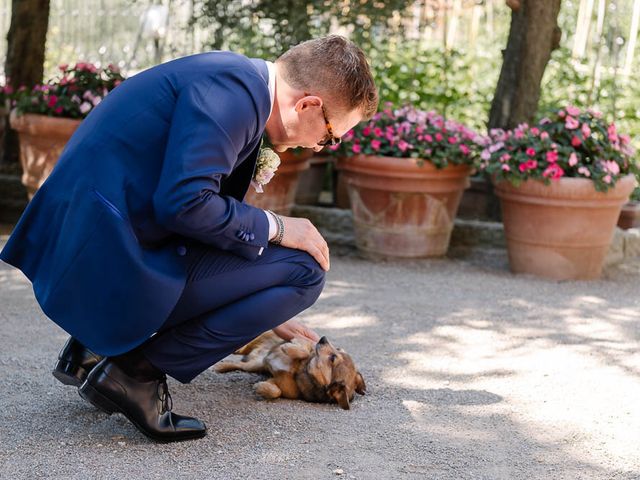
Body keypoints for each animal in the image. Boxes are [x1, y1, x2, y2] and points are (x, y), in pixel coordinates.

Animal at [214, 332, 364, 410]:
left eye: (332, 358)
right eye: (338, 349)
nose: (323, 338)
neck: (301, 371)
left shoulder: (275, 380)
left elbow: (276, 391)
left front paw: (260, 387)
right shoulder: (304, 341)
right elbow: (304, 349)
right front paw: (288, 347)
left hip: (255, 365)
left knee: (241, 364)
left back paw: (222, 366)